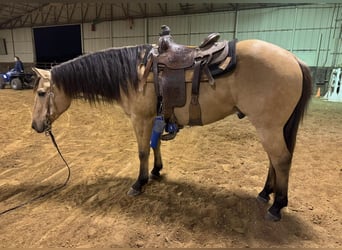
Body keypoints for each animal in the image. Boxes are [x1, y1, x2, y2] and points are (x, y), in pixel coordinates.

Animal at [30, 29, 312, 221]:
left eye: (42, 93)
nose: (35, 126)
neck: (135, 73)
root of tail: (293, 59)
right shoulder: (155, 119)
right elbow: (155, 147)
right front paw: (156, 171)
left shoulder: (141, 119)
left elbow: (142, 151)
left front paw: (139, 183)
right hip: (273, 128)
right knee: (274, 159)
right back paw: (265, 193)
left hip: (268, 127)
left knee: (281, 159)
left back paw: (277, 205)